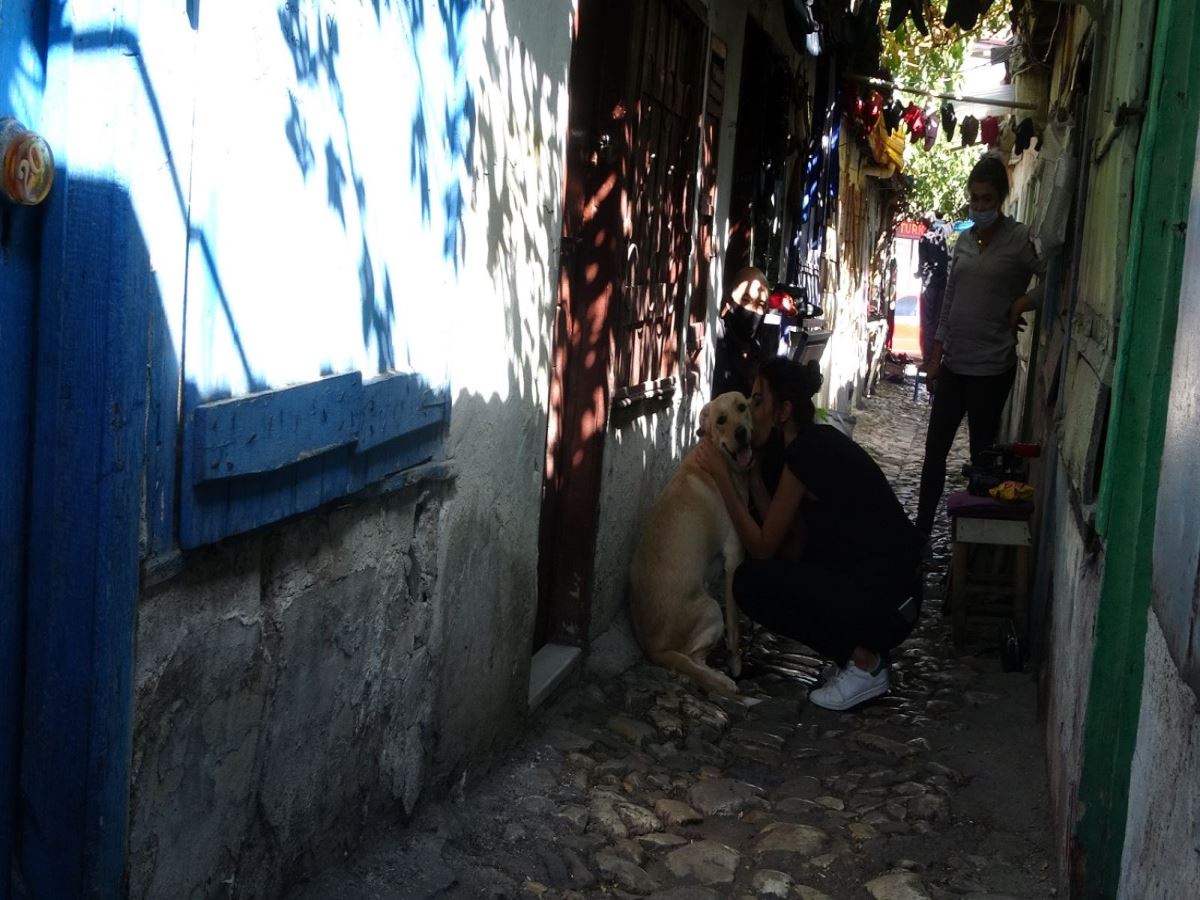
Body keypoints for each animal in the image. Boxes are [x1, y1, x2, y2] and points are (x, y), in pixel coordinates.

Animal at [628, 391, 748, 696]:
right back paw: (720, 679)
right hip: (711, 608)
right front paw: (736, 663)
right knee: (692, 661)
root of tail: (654, 649)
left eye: (743, 406)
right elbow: (735, 628)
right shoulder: (734, 560)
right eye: (721, 420)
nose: (742, 433)